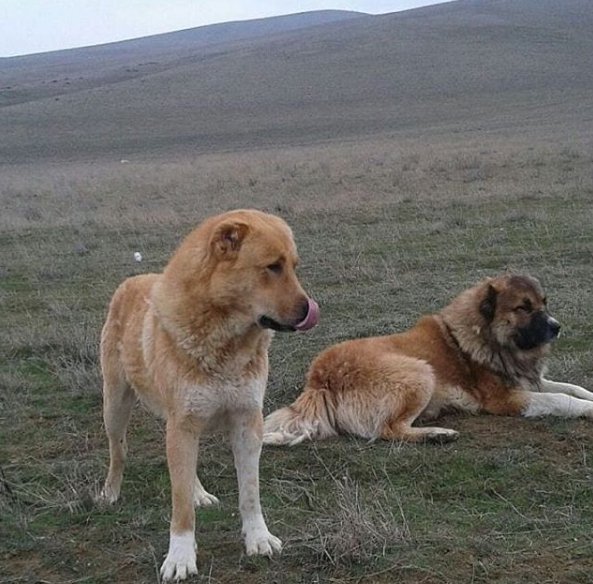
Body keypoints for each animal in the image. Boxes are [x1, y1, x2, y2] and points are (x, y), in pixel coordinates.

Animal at [98, 209, 320, 580]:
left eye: (294, 265)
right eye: (272, 266)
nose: (310, 311)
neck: (225, 338)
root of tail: (132, 280)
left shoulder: (247, 423)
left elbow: (249, 493)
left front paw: (258, 538)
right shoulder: (183, 425)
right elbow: (180, 506)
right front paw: (180, 556)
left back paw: (198, 491)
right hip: (115, 407)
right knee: (119, 452)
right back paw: (110, 492)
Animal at [264, 276, 592, 444]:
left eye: (544, 303)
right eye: (523, 307)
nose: (556, 326)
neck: (488, 335)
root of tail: (320, 377)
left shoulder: (531, 381)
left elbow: (572, 388)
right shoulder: (505, 399)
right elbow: (560, 400)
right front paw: (588, 409)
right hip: (419, 372)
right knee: (387, 430)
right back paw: (438, 434)